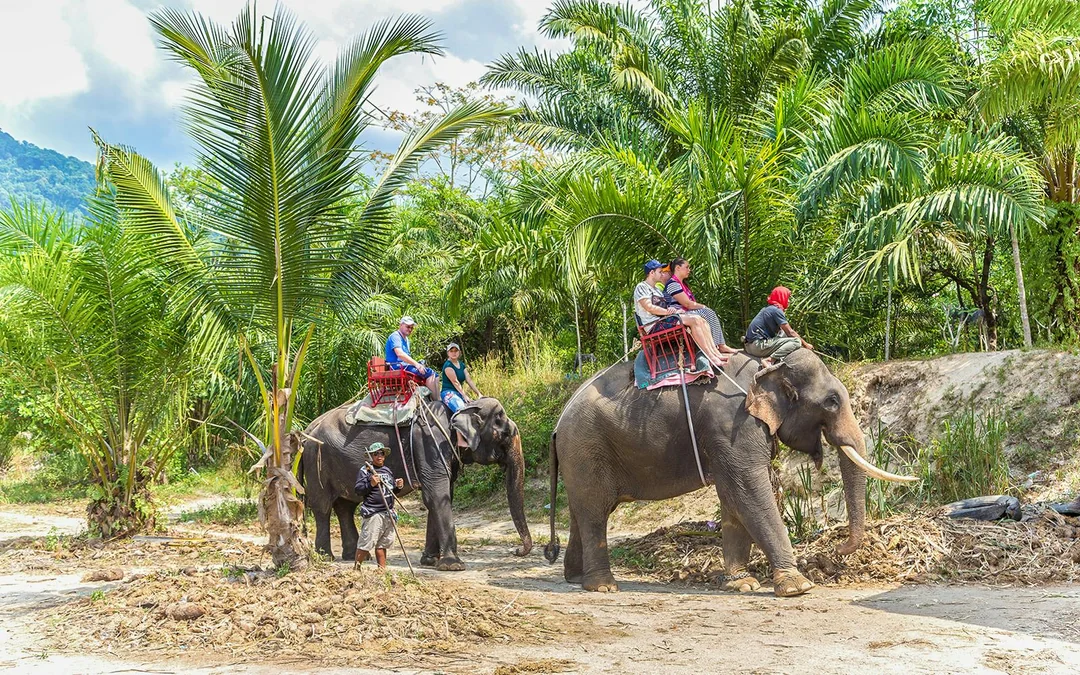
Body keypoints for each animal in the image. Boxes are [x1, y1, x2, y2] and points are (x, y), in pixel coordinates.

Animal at [299, 396, 532, 570]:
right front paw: (453, 566)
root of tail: (307, 430)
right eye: (505, 434)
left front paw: (430, 561)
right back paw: (326, 556)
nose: (517, 551)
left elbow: (442, 496)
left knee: (345, 506)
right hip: (316, 461)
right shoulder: (429, 443)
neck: (460, 408)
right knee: (323, 507)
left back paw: (353, 556)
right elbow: (437, 496)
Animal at [543, 349, 914, 595]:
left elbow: (732, 497)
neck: (767, 368)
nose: (837, 550)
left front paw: (744, 584)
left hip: (582, 455)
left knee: (583, 510)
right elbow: (747, 489)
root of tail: (558, 423)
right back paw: (603, 587)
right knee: (595, 511)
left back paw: (576, 578)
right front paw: (798, 586)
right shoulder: (734, 424)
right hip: (587, 447)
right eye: (832, 402)